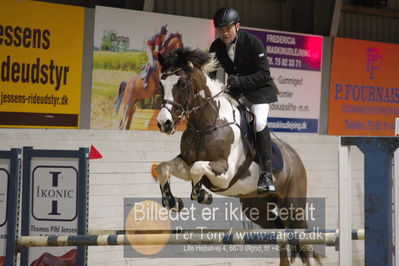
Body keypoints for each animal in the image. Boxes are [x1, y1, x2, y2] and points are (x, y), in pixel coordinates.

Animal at [155, 47, 324, 266]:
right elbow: (164, 167)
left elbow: (198, 168)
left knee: (303, 240)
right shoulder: (185, 162)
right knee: (280, 231)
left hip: (294, 206)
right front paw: (172, 201)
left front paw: (202, 194)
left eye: (182, 83)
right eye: (161, 83)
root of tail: (295, 157)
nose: (164, 124)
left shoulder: (225, 172)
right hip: (255, 207)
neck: (206, 124)